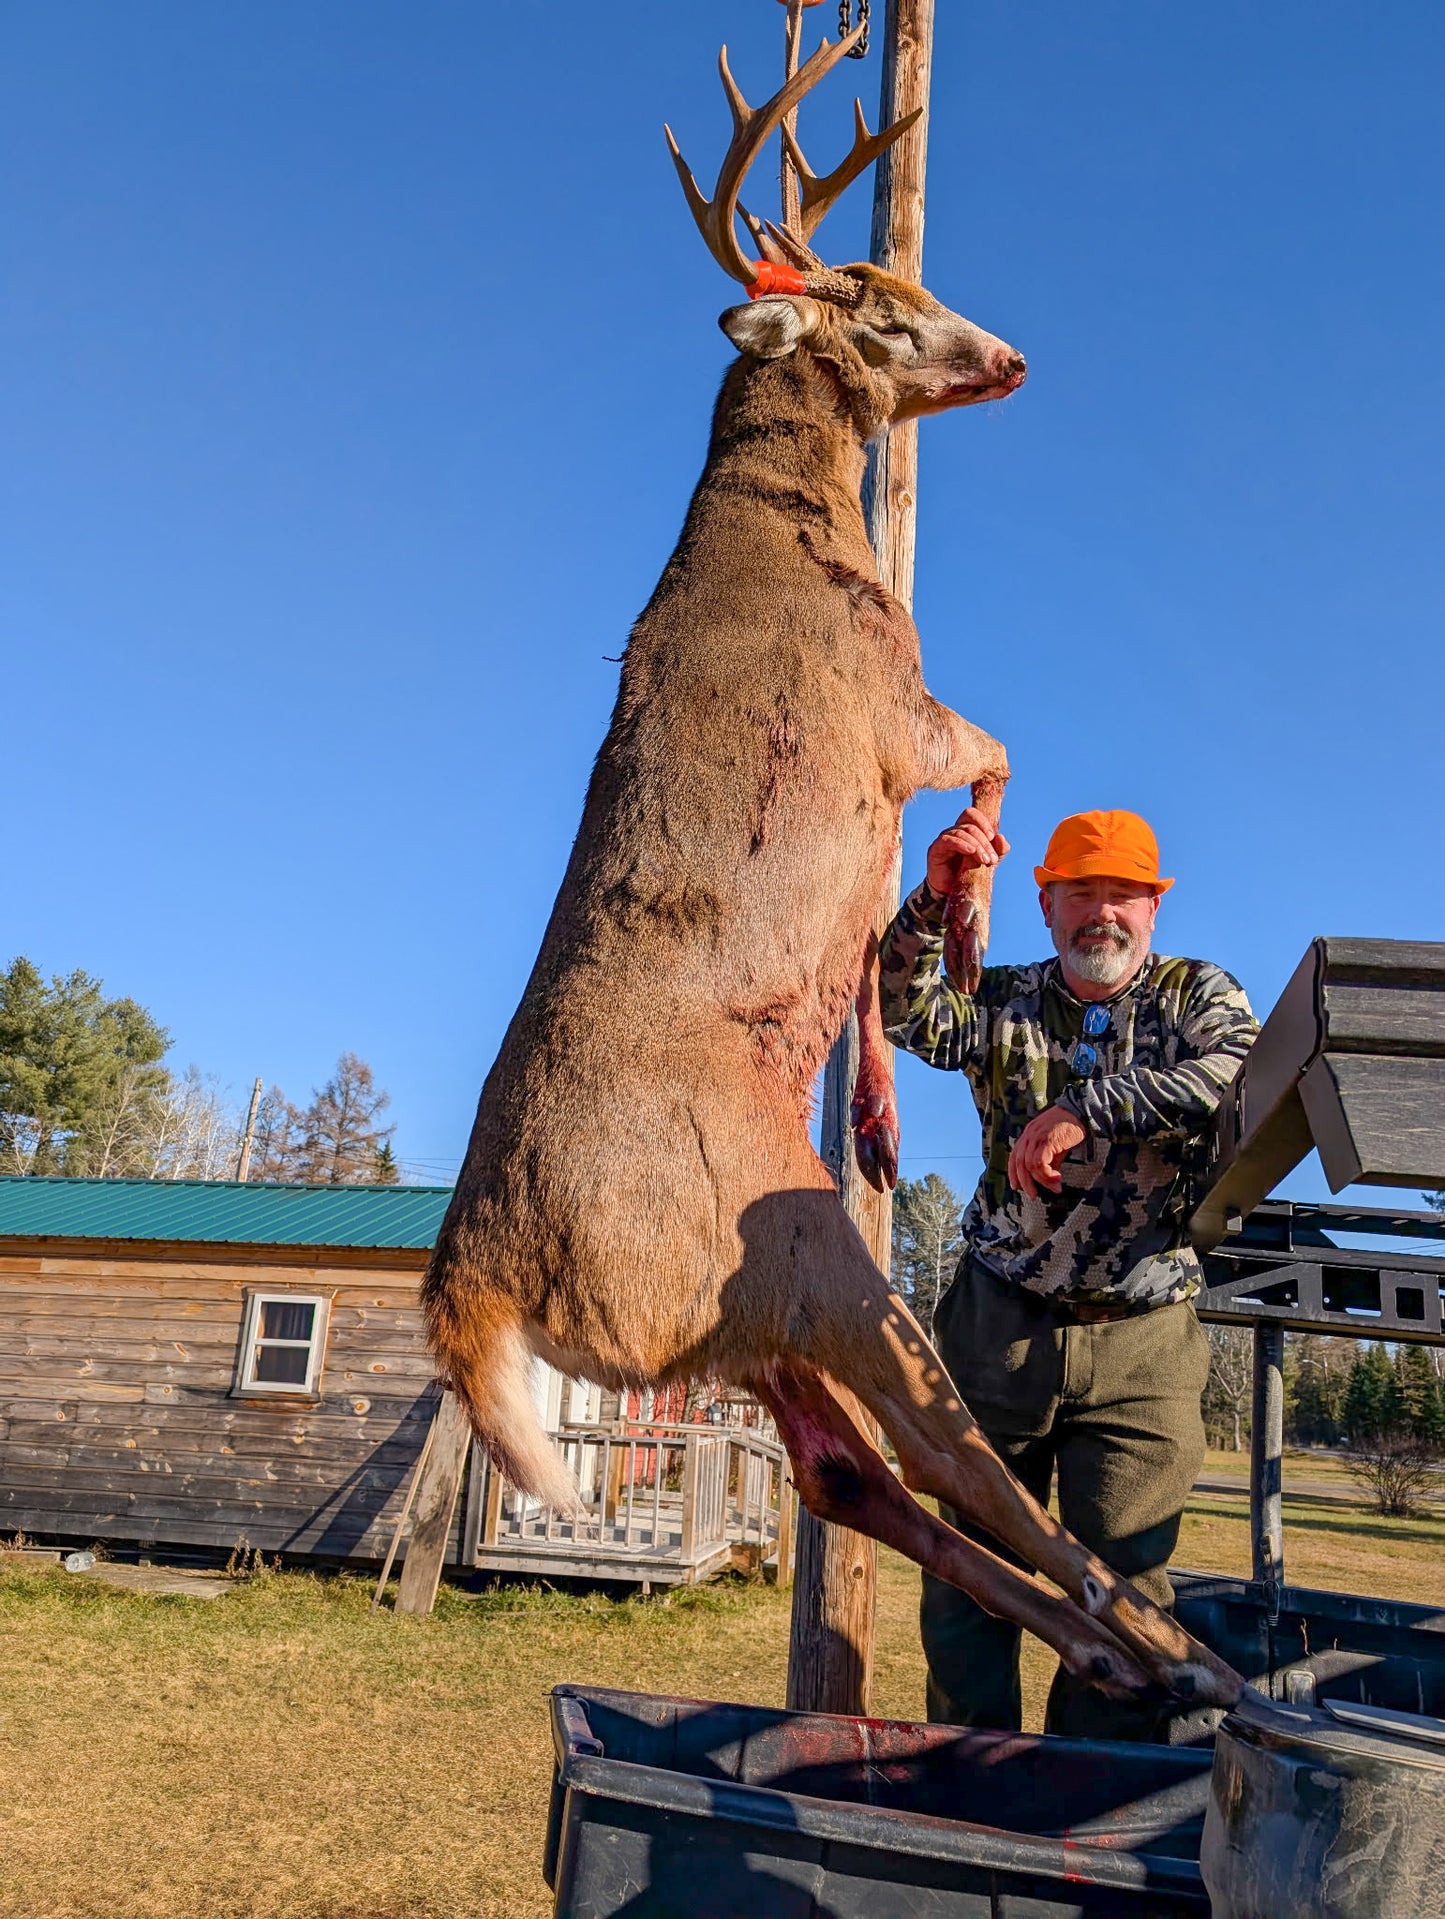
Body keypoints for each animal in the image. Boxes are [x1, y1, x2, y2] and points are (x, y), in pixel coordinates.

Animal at [424, 25, 1243, 1714]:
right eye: (878, 300)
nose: (1007, 353)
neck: (793, 529)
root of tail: (472, 1286)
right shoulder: (894, 707)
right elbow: (990, 768)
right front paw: (973, 905)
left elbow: (884, 946)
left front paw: (885, 1058)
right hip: (800, 1258)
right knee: (957, 1453)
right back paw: (1172, 1645)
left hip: (738, 1333)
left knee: (844, 1472)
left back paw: (1116, 1643)